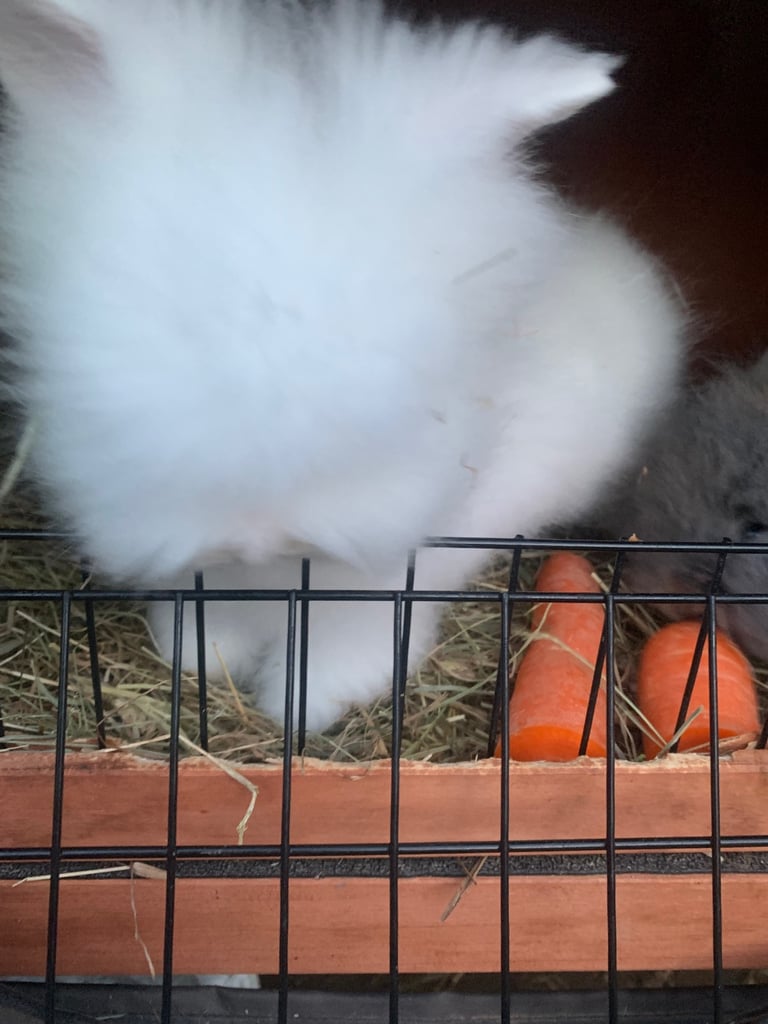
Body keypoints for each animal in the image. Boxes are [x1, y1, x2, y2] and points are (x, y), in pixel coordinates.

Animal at [0, 0, 687, 730]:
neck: (274, 575)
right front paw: (200, 657)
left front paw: (303, 706)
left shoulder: (391, 580)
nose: (255, 535)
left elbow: (342, 640)